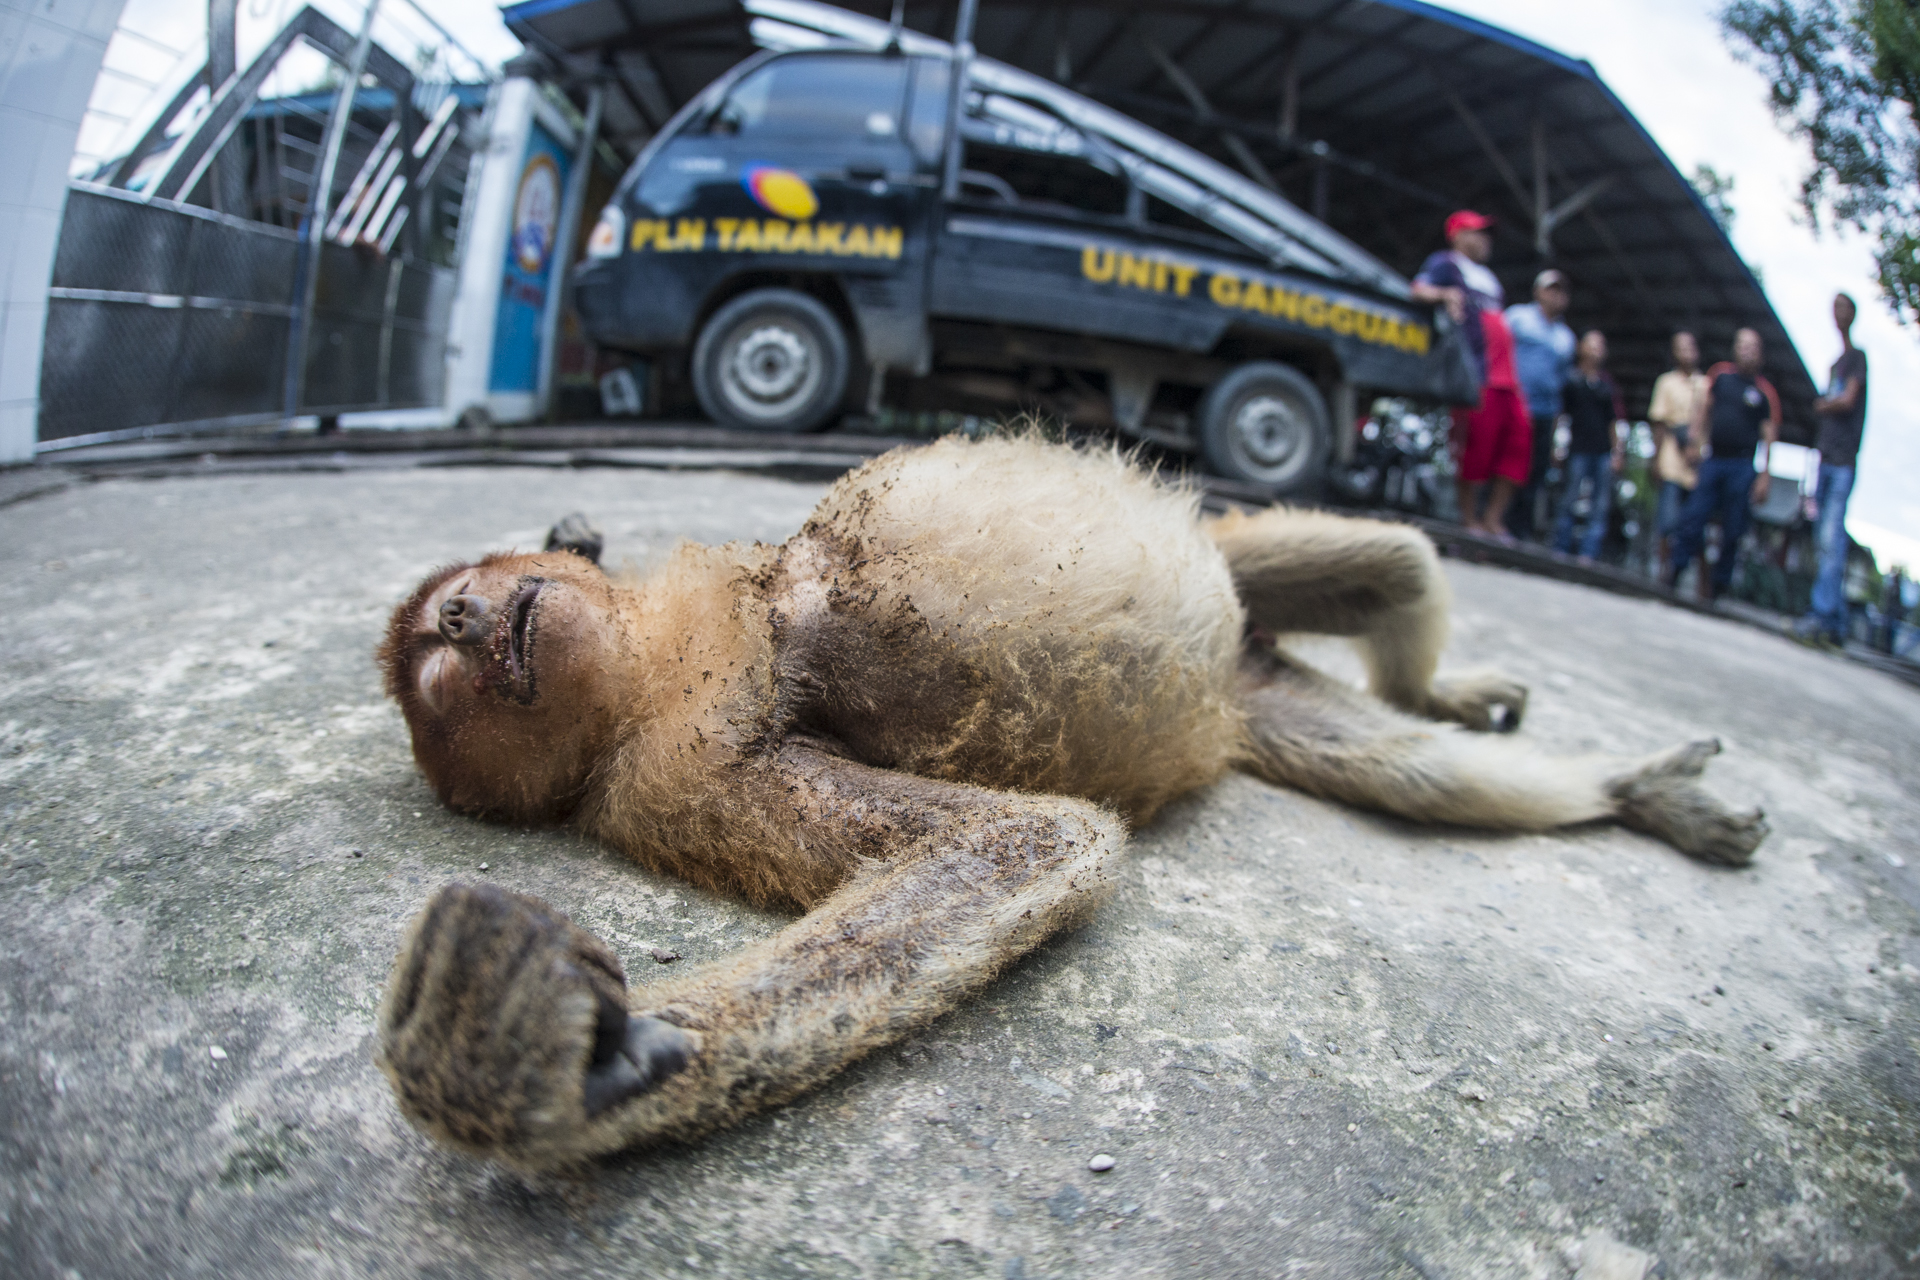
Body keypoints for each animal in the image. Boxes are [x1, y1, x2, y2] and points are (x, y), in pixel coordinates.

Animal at [378, 437, 1766, 1174]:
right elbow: (1024, 835)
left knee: (1398, 567)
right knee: (1412, 749)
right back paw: (1627, 789)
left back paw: (1539, 734)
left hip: (1245, 594)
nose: (465, 622)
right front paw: (600, 1066)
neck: (660, 648)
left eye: (454, 611)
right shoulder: (676, 762)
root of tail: (1236, 680)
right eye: (440, 670)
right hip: (1261, 700)